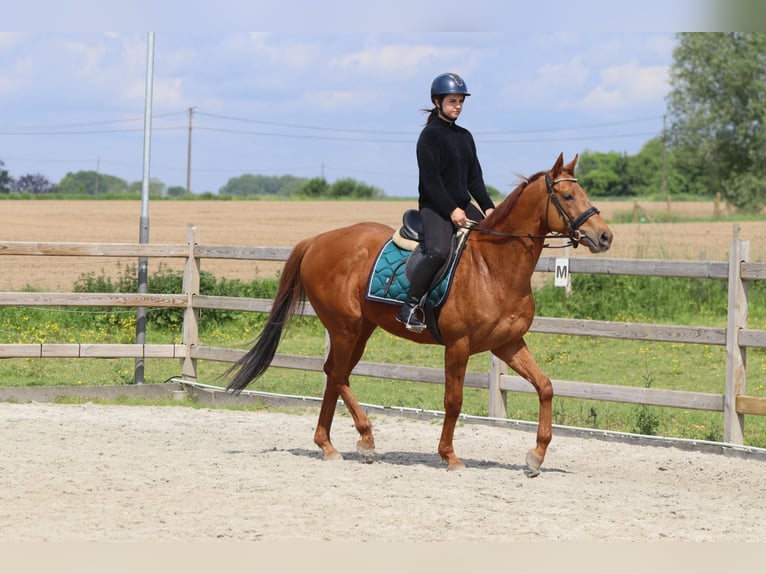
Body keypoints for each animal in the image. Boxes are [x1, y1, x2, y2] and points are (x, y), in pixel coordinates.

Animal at [226, 153, 613, 477]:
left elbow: (545, 387)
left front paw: (536, 457)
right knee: (336, 374)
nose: (605, 236)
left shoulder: (508, 344)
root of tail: (317, 241)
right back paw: (365, 439)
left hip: (360, 330)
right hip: (345, 328)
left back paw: (329, 445)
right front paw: (450, 456)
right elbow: (453, 401)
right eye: (567, 197)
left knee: (336, 375)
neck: (493, 267)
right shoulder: (458, 346)